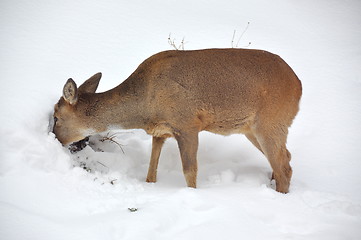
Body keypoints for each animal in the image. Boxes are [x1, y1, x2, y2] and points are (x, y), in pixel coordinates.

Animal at [52, 48, 300, 193]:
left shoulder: (187, 124)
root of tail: (298, 85)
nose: (54, 139)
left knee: (284, 167)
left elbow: (190, 171)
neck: (145, 106)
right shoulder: (160, 131)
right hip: (252, 128)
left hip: (271, 121)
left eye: (56, 116)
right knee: (285, 158)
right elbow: (151, 168)